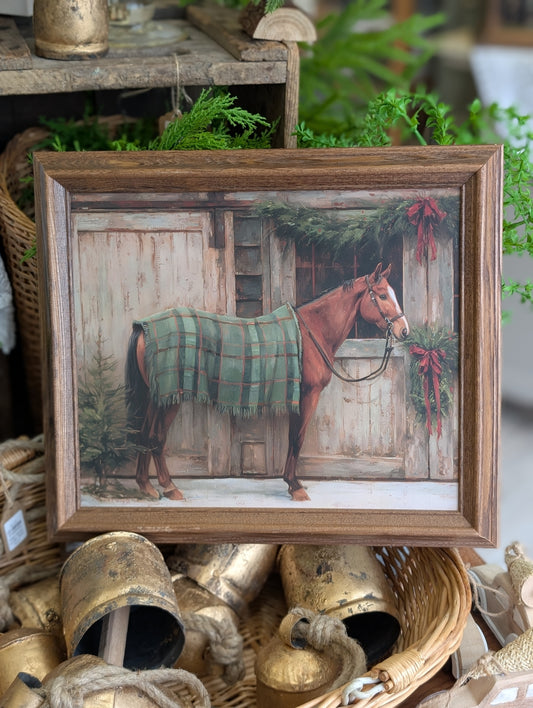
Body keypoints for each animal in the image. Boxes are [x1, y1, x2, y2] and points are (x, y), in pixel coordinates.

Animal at [125, 263, 409, 502]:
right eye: (382, 296)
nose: (404, 331)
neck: (310, 334)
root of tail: (144, 326)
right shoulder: (307, 395)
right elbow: (296, 438)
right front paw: (295, 487)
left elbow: (293, 437)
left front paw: (291, 482)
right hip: (167, 398)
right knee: (157, 437)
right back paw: (169, 487)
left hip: (154, 396)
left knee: (145, 434)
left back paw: (147, 486)